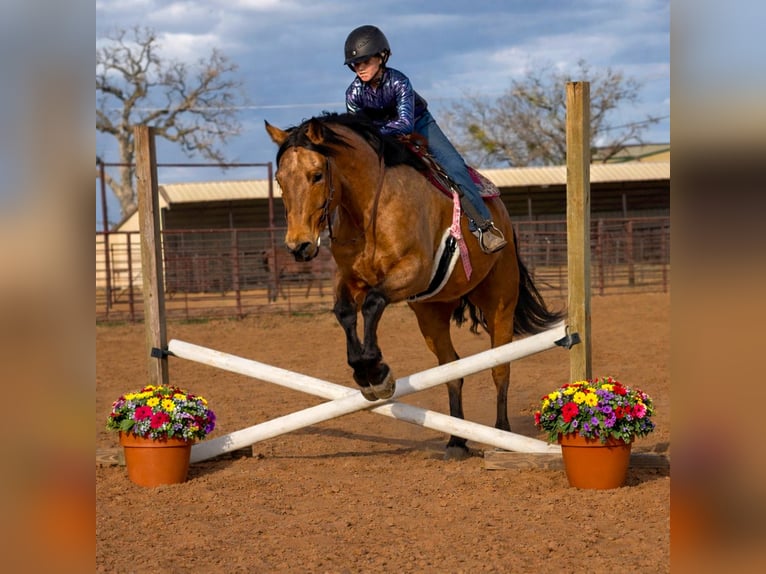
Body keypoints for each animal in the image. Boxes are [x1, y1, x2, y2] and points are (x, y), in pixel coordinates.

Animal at [265, 112, 563, 459]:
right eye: (280, 180)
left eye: (316, 175)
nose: (298, 246)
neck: (369, 208)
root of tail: (501, 212)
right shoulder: (350, 278)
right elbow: (345, 312)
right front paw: (364, 372)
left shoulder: (413, 271)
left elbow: (372, 303)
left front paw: (376, 373)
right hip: (431, 313)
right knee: (451, 368)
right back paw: (457, 440)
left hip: (500, 303)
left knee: (499, 367)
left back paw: (502, 434)